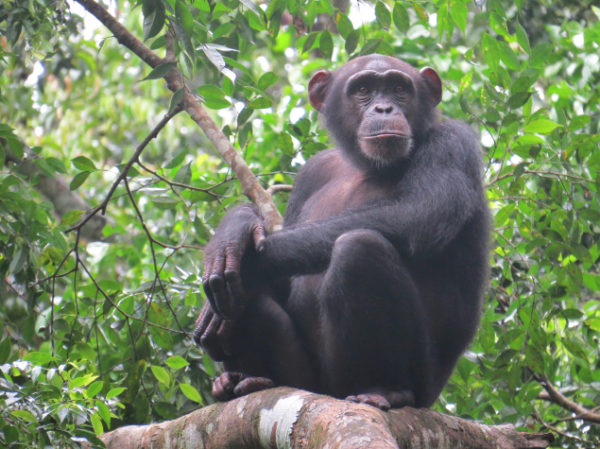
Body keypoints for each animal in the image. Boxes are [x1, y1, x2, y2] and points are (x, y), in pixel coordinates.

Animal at [192, 53, 488, 410]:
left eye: (399, 88)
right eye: (363, 90)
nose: (384, 108)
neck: (364, 166)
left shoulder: (453, 142)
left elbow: (421, 212)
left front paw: (243, 254)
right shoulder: (311, 172)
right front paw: (235, 227)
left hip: (417, 384)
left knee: (358, 250)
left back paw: (386, 388)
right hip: (305, 381)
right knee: (248, 307)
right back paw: (246, 379)